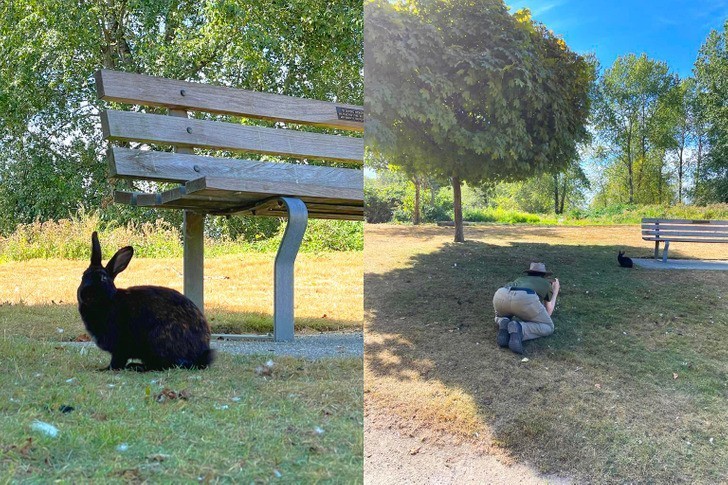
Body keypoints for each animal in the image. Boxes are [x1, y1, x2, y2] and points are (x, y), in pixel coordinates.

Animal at [80, 232, 216, 370]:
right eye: (83, 276)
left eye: (103, 278)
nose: (86, 294)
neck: (109, 301)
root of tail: (200, 355)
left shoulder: (120, 346)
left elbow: (118, 360)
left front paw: (106, 369)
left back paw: (136, 366)